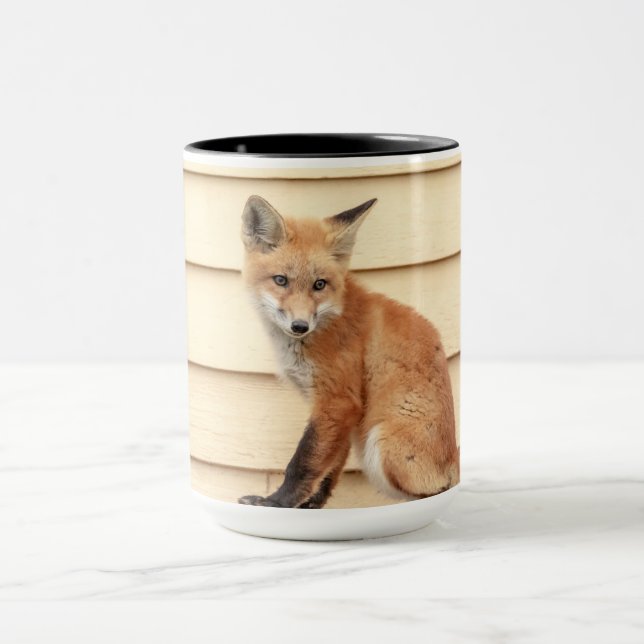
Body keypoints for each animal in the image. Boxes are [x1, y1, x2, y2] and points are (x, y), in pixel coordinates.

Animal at [238, 195, 459, 509]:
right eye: (281, 280)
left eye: (319, 284)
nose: (300, 326)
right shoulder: (338, 412)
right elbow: (328, 468)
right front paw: (311, 506)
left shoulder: (337, 399)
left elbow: (302, 462)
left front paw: (276, 503)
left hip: (381, 445)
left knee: (433, 493)